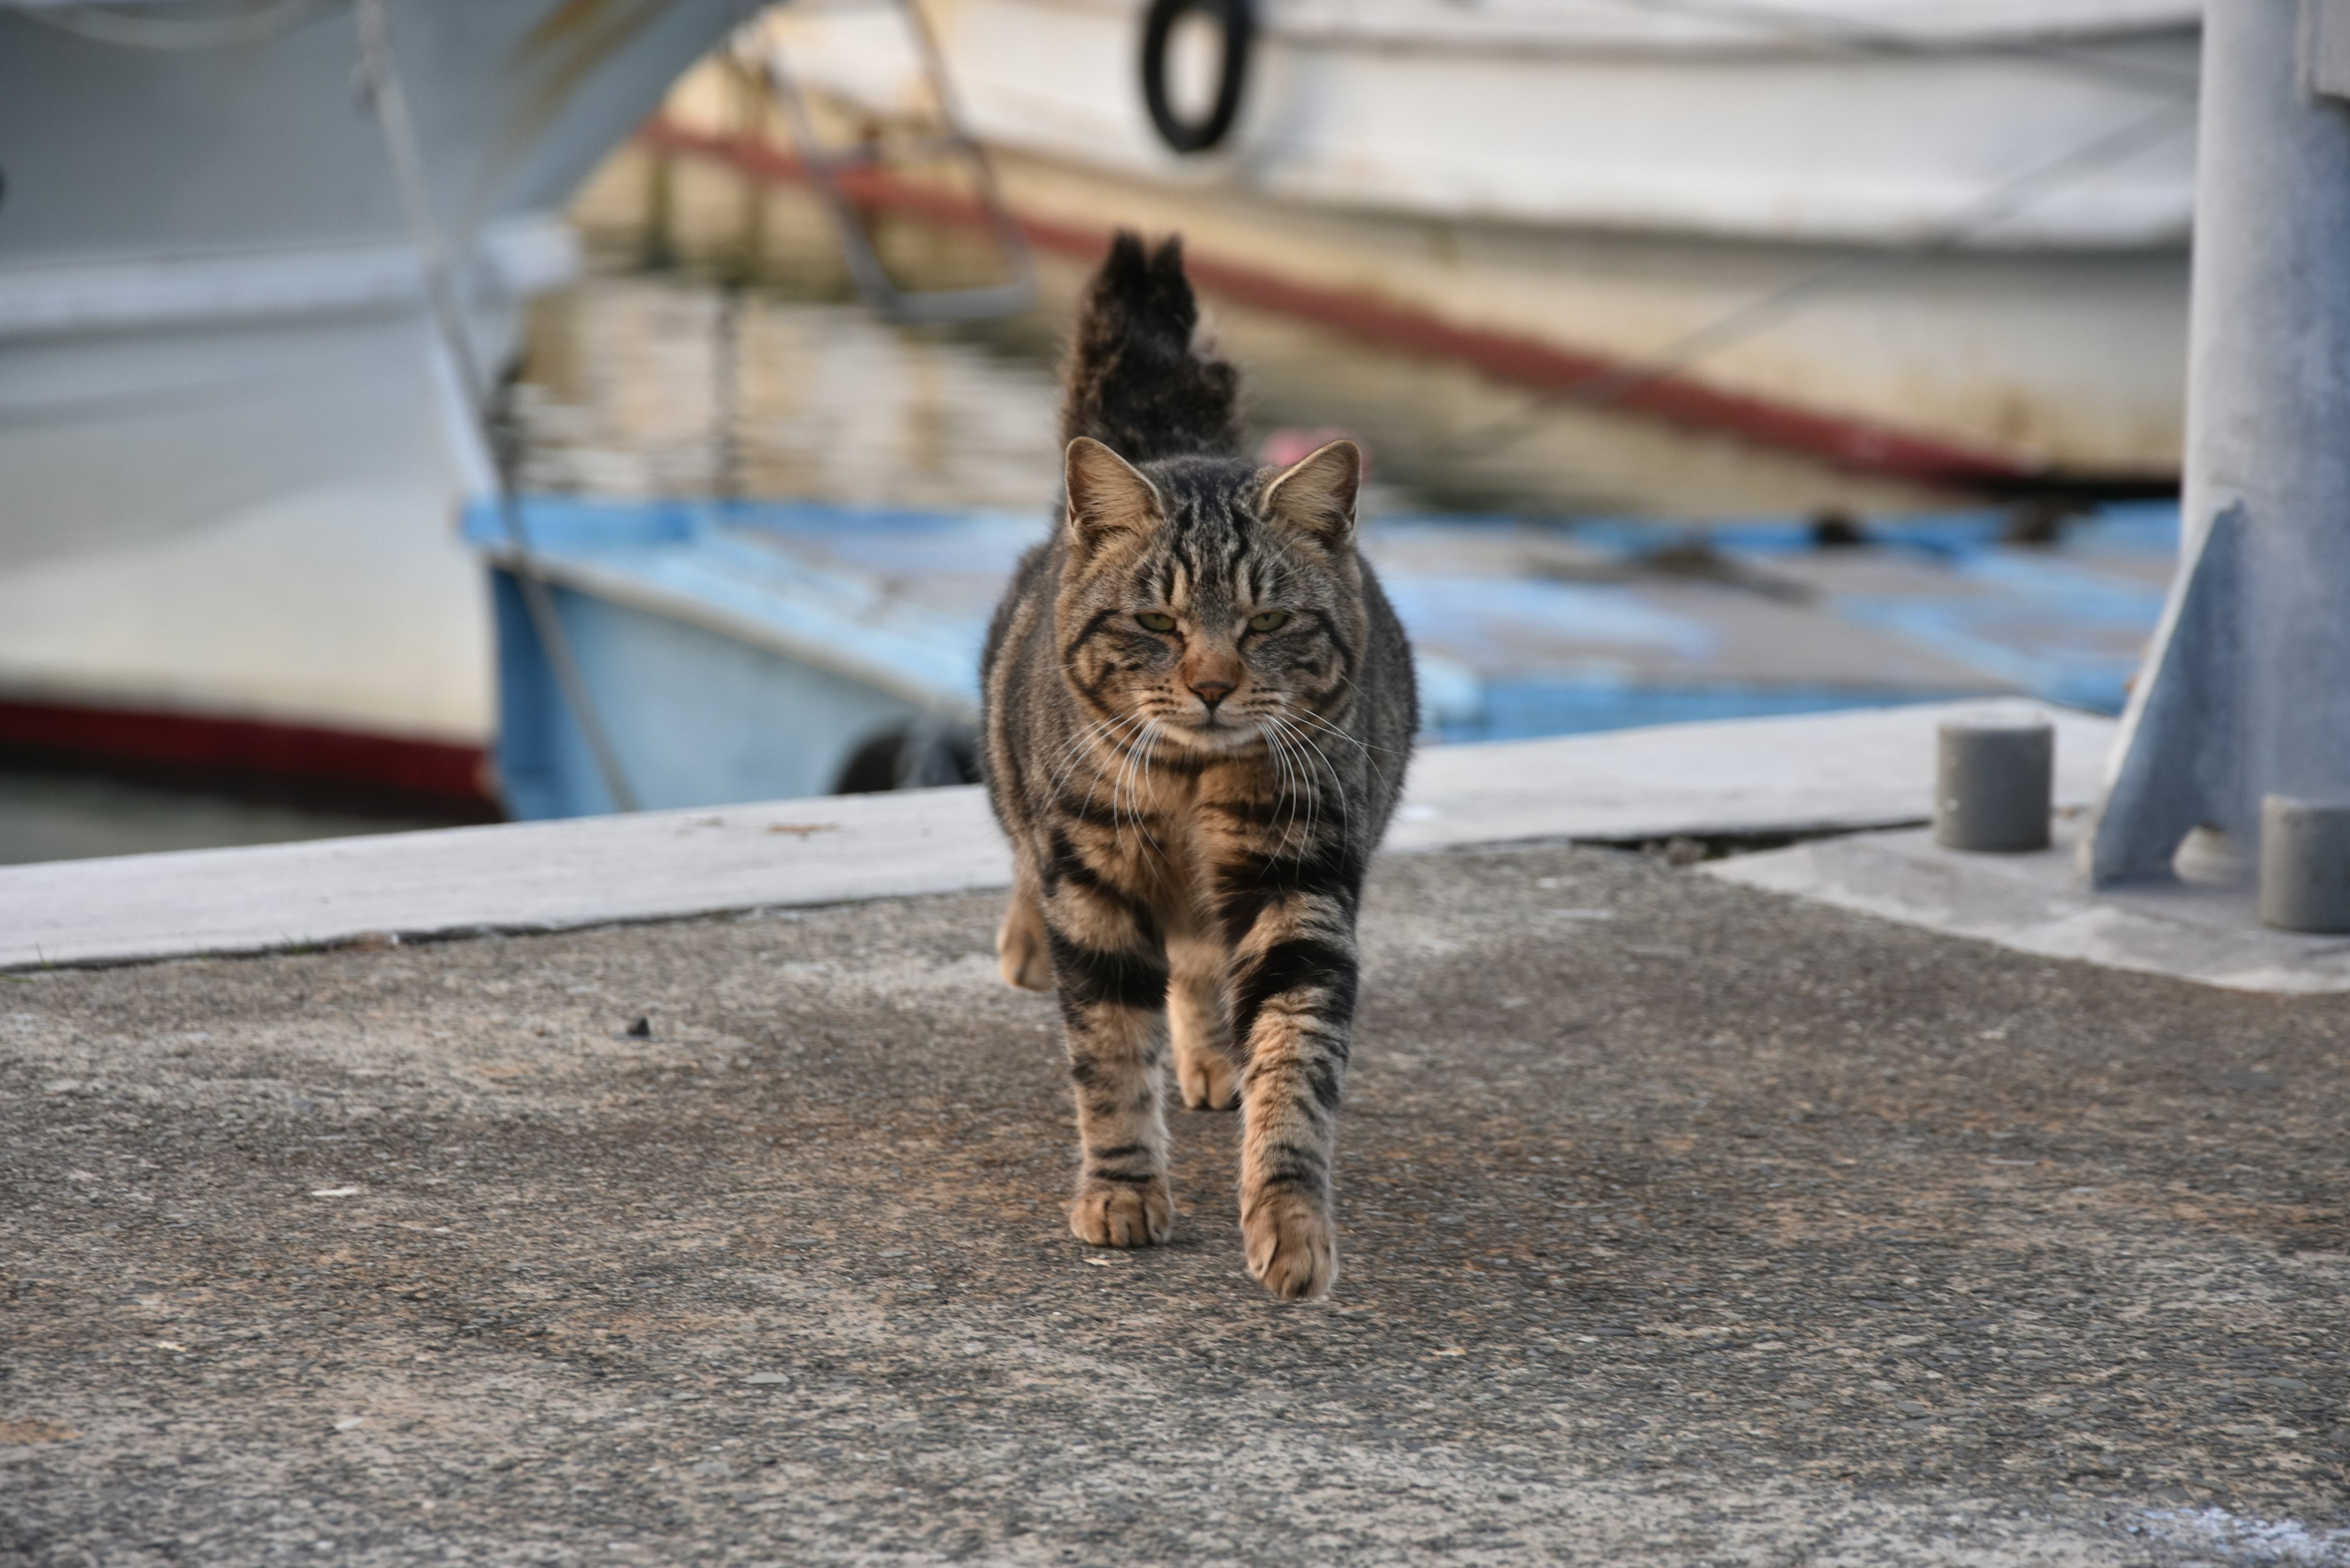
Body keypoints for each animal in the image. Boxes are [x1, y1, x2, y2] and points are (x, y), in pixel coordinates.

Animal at [977, 226, 1410, 1297]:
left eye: (1265, 622)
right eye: (1159, 622)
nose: (1213, 685)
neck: (1186, 786)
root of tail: (1177, 444)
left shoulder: (1300, 889)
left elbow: (1295, 1063)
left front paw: (1290, 1221)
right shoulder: (1094, 889)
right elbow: (1109, 1059)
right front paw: (1122, 1189)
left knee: (1203, 967)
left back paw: (1216, 1059)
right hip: (1024, 797)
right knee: (1030, 863)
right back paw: (1027, 941)